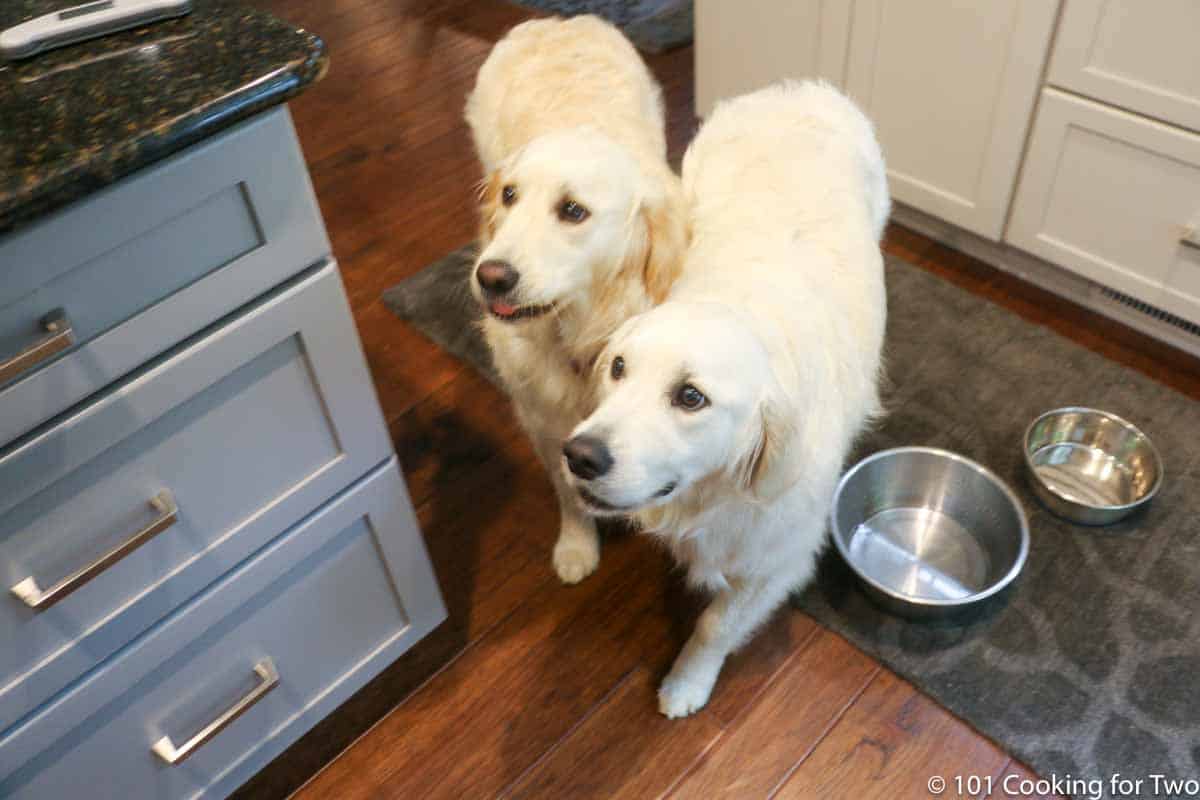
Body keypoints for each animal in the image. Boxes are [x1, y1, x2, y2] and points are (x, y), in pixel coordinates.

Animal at [463, 15, 686, 585]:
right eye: (510, 196)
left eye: (572, 210)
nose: (490, 276)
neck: (583, 329)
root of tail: (556, 20)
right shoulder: (542, 421)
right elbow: (568, 490)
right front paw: (577, 545)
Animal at [561, 82, 892, 719]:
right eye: (618, 368)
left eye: (691, 397)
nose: (579, 456)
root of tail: (806, 88)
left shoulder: (779, 555)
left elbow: (716, 625)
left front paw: (687, 683)